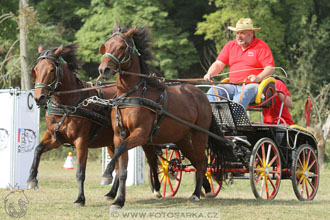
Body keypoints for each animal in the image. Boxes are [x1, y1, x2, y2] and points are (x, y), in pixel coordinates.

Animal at [97, 26, 219, 207]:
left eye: (121, 47)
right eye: (105, 46)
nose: (103, 69)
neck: (131, 94)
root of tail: (202, 95)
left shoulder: (140, 134)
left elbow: (120, 151)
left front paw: (106, 175)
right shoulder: (119, 136)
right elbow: (123, 169)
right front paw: (118, 200)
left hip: (199, 135)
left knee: (203, 162)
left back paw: (196, 194)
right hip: (182, 139)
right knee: (197, 161)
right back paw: (204, 188)